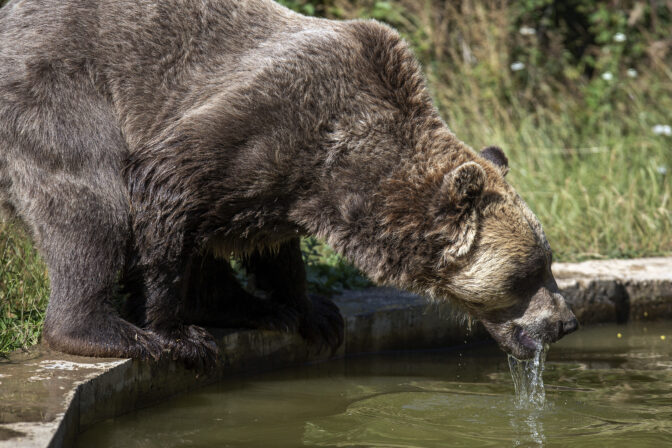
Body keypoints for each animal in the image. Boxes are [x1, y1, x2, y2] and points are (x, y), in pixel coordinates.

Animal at [0, 0, 577, 367]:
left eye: (546, 262)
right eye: (529, 272)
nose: (566, 322)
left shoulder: (290, 182)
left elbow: (270, 242)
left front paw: (314, 313)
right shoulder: (260, 122)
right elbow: (162, 190)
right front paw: (175, 333)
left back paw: (241, 305)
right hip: (57, 91)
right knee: (88, 202)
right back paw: (103, 330)